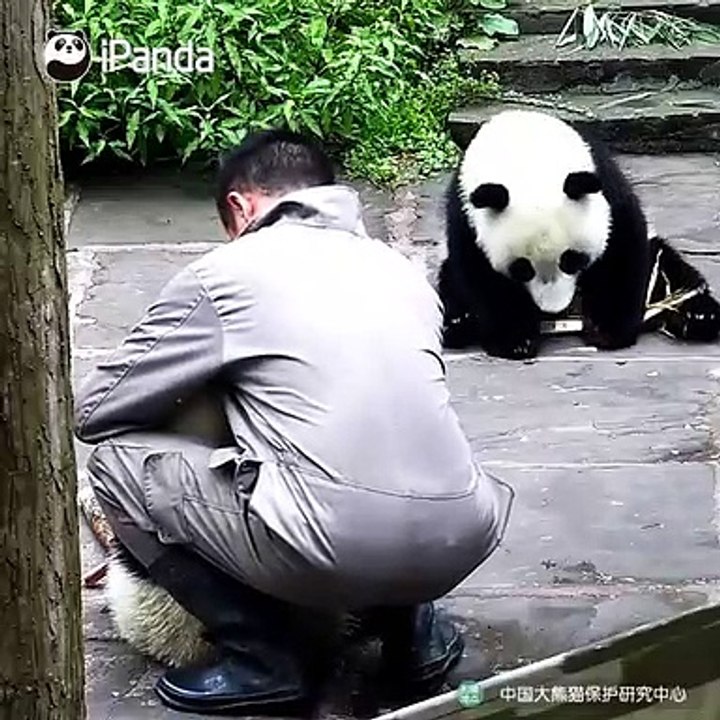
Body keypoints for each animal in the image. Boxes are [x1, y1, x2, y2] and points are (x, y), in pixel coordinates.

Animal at [438, 109, 720, 360]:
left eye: (572, 259)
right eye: (522, 268)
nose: (554, 309)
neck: (527, 159)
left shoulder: (607, 190)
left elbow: (620, 253)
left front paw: (607, 330)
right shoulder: (466, 218)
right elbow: (482, 279)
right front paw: (515, 341)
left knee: (668, 271)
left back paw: (698, 316)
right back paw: (457, 323)